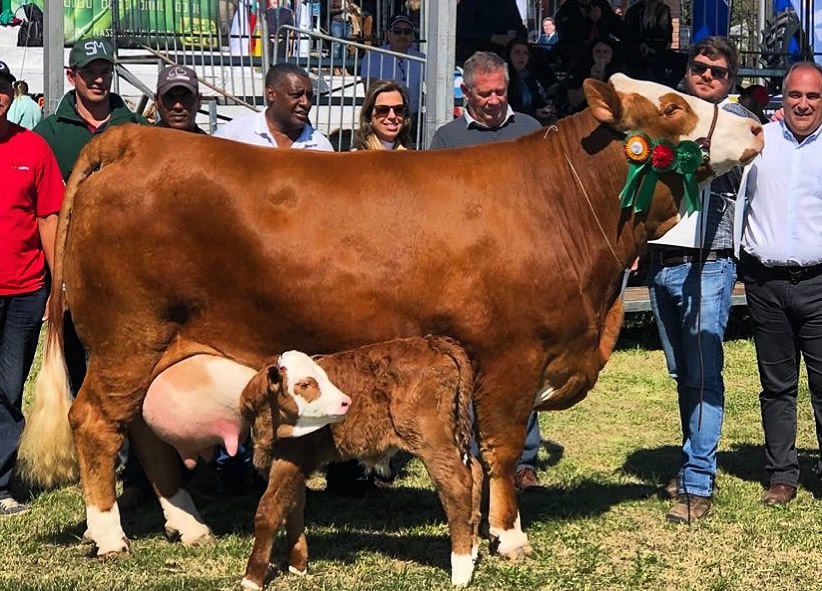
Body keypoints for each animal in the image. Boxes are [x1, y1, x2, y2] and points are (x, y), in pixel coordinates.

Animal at [19, 76, 768, 560]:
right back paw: (109, 534)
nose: (758, 124)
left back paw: (189, 525)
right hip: (127, 335)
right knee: (96, 422)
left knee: (143, 430)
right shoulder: (511, 353)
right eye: (671, 104)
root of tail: (134, 140)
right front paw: (509, 535)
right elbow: (500, 446)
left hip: (159, 345)